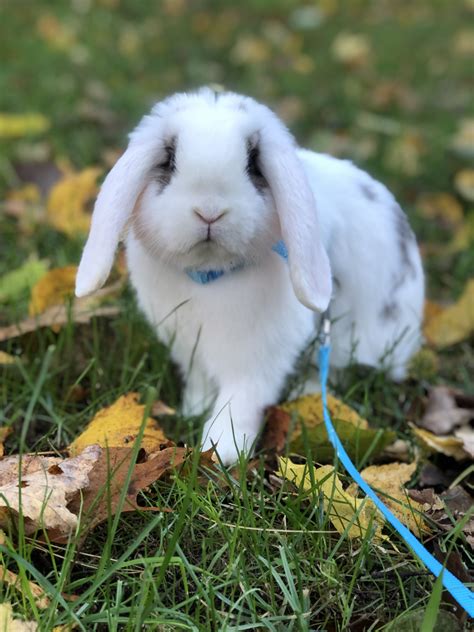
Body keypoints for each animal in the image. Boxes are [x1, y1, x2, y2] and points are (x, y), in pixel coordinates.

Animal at [76, 87, 424, 464]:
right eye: (169, 161)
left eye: (253, 163)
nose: (209, 212)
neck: (211, 275)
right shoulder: (189, 347)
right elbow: (200, 381)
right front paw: (192, 410)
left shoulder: (258, 358)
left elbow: (240, 399)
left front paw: (221, 449)